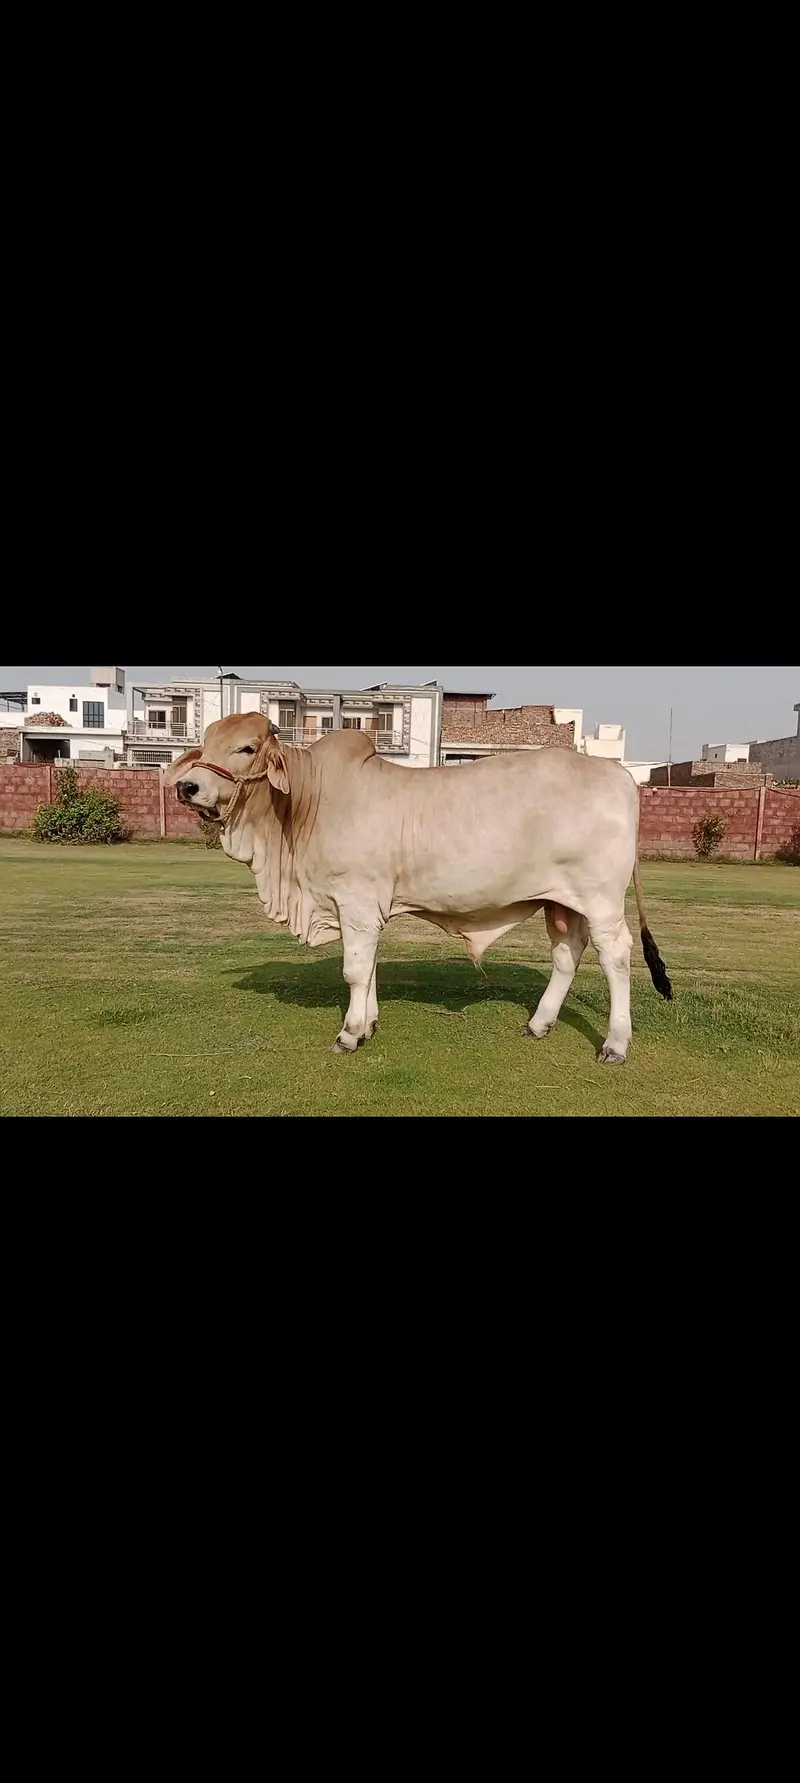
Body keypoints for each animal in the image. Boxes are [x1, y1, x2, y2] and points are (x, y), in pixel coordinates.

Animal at [164, 714, 672, 1063]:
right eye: (204, 744)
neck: (307, 803)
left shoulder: (357, 901)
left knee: (615, 956)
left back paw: (615, 1044)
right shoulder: (362, 909)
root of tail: (619, 775)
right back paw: (539, 1023)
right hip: (560, 903)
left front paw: (349, 1034)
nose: (188, 787)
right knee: (567, 953)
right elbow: (368, 969)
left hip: (602, 900)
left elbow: (354, 971)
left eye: (247, 747)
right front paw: (368, 1025)